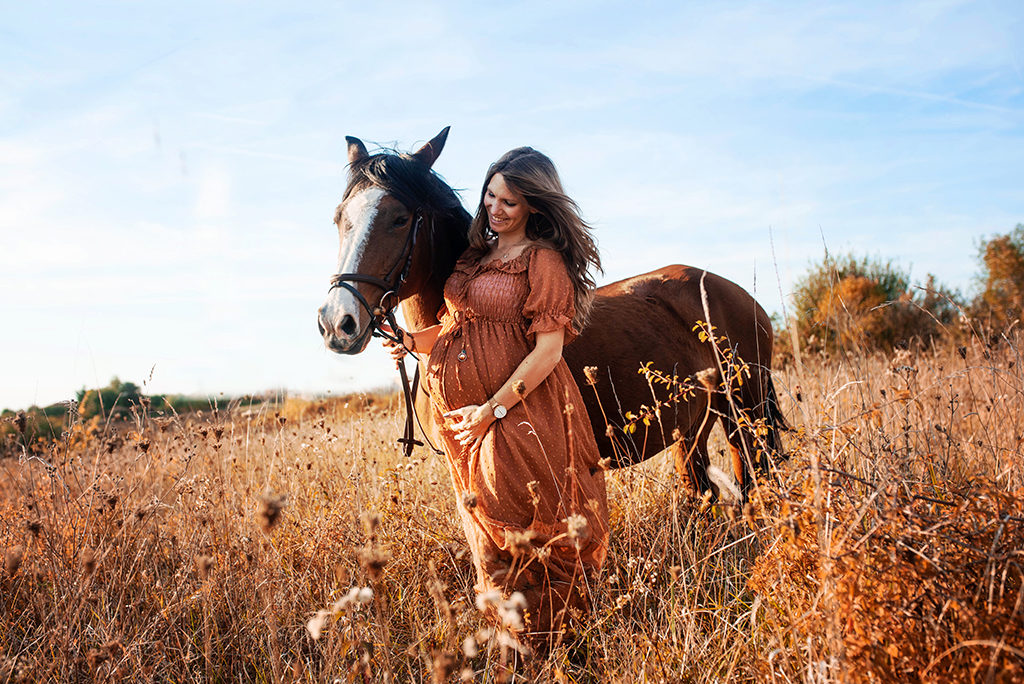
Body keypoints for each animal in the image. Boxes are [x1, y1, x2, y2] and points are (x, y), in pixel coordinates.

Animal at [317, 127, 787, 499]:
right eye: (339, 218)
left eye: (399, 218)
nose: (337, 323)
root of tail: (735, 291)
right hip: (692, 428)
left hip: (745, 415)